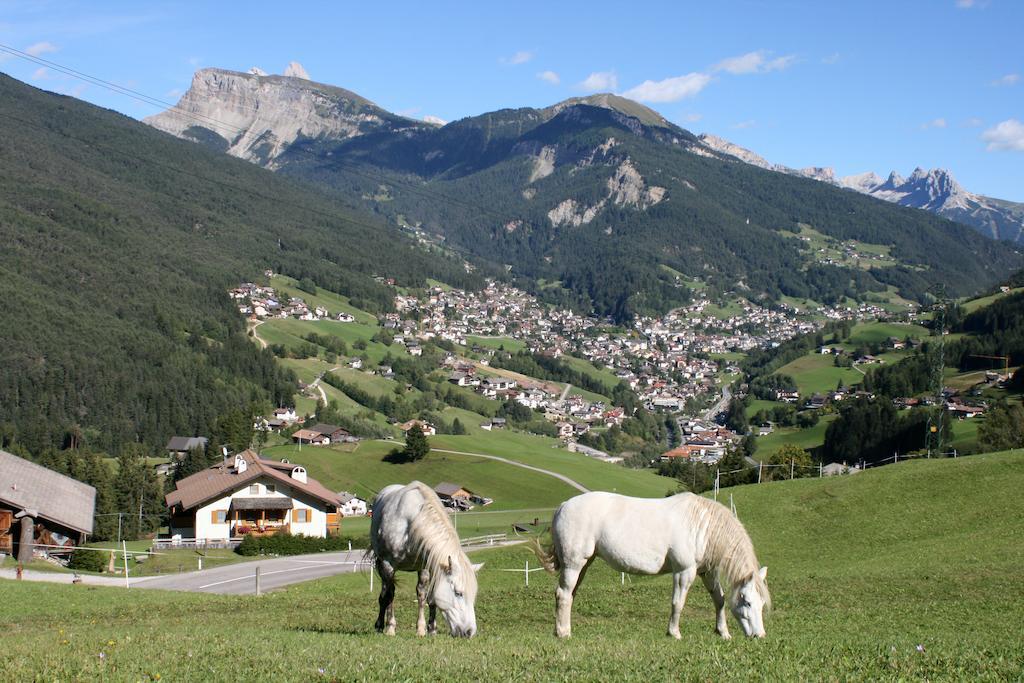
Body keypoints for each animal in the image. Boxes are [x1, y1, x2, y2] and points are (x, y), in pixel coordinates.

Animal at [368, 483, 479, 638]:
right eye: (458, 593)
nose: (470, 632)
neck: (409, 526)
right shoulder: (388, 565)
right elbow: (390, 595)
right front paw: (390, 628)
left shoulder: (426, 566)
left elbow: (425, 596)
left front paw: (425, 629)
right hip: (382, 566)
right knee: (385, 594)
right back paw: (380, 625)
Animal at [536, 491, 770, 643]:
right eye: (748, 602)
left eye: (761, 604)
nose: (759, 635)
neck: (701, 526)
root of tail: (563, 506)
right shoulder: (684, 571)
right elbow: (678, 603)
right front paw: (674, 633)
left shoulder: (707, 572)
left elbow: (719, 600)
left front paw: (723, 633)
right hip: (573, 564)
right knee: (563, 594)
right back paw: (563, 633)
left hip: (583, 564)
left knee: (569, 595)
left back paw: (564, 629)